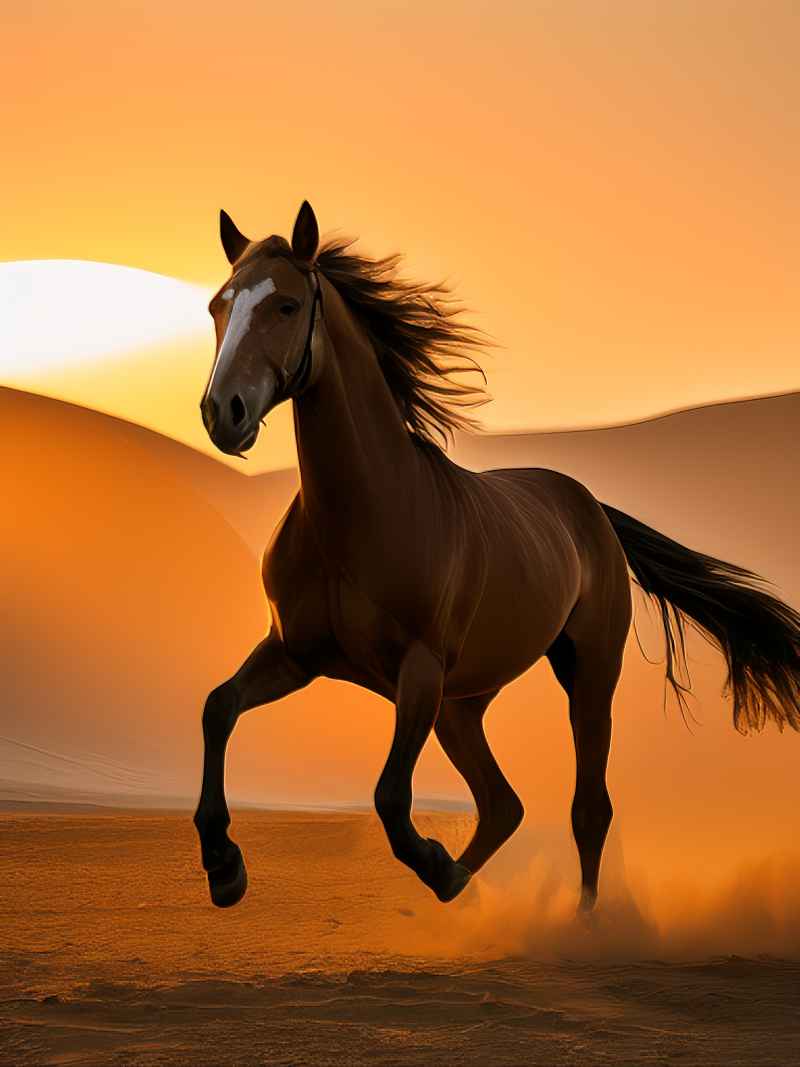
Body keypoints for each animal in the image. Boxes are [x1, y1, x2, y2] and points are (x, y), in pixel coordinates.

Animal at [193, 200, 800, 911]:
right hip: (463, 706)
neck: (360, 519)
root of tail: (589, 507)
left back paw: (572, 918)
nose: (223, 413)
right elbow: (218, 708)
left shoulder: (418, 673)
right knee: (503, 804)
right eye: (218, 305)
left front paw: (431, 860)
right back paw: (461, 879)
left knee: (588, 808)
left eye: (287, 305)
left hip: (587, 671)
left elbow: (390, 797)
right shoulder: (294, 655)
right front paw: (224, 868)